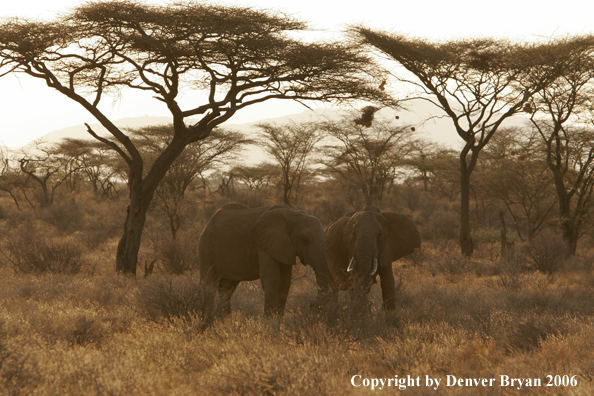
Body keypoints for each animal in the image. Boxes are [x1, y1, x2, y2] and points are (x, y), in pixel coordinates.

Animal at [198, 204, 328, 316]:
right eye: (305, 239)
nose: (313, 306)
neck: (293, 214)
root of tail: (208, 223)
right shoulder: (263, 244)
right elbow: (271, 279)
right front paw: (269, 321)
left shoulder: (284, 246)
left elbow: (285, 282)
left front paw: (277, 319)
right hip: (207, 248)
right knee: (209, 283)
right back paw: (206, 316)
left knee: (226, 289)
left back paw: (223, 320)